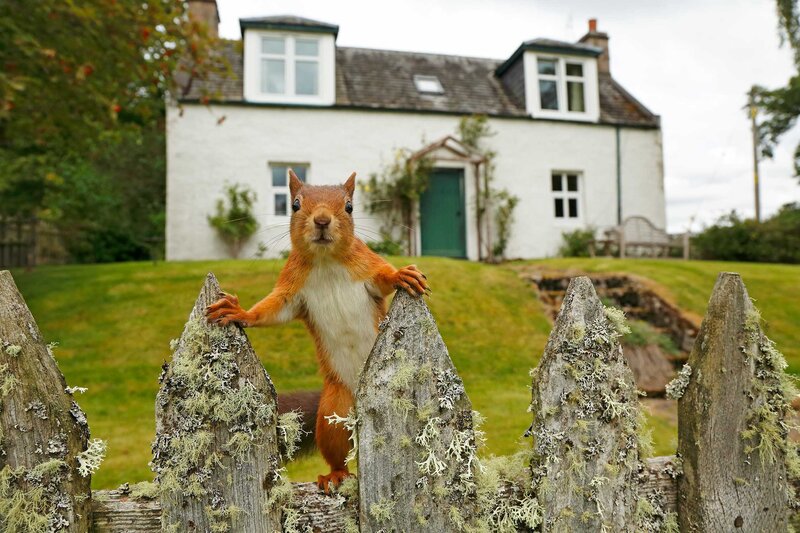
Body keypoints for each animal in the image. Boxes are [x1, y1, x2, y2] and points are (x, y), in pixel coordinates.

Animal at [206, 170, 428, 492]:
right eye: (295, 205)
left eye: (349, 206)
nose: (322, 220)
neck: (326, 260)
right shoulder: (291, 291)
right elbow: (272, 311)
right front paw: (240, 312)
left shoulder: (367, 267)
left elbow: (383, 278)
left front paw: (402, 274)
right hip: (334, 411)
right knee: (338, 452)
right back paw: (336, 475)